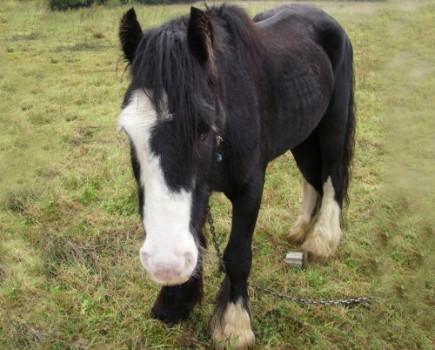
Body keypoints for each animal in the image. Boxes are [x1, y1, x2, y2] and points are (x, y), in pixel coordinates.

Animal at [118, 4, 354, 348]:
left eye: (204, 128)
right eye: (127, 131)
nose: (165, 265)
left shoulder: (250, 188)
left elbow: (238, 255)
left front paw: (234, 326)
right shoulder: (200, 189)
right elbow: (198, 239)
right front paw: (176, 301)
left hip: (332, 124)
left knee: (332, 175)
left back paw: (321, 241)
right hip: (302, 131)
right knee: (311, 175)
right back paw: (300, 230)